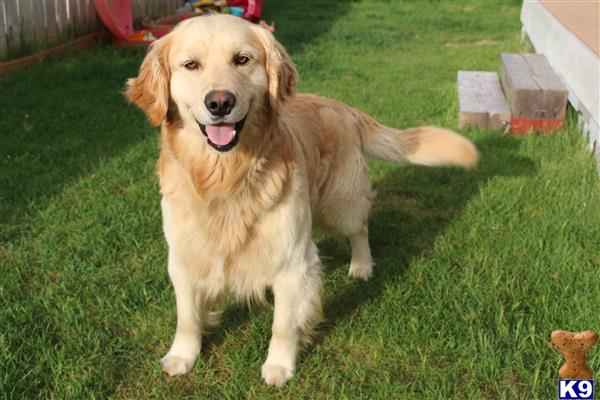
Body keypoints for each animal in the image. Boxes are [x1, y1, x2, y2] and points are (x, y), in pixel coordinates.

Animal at [126, 14, 478, 386]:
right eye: (190, 65)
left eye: (242, 59)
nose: (220, 102)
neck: (227, 178)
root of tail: (342, 106)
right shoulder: (184, 257)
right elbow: (188, 317)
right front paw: (182, 355)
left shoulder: (293, 259)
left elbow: (284, 324)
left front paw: (279, 366)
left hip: (340, 202)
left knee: (360, 229)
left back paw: (361, 266)